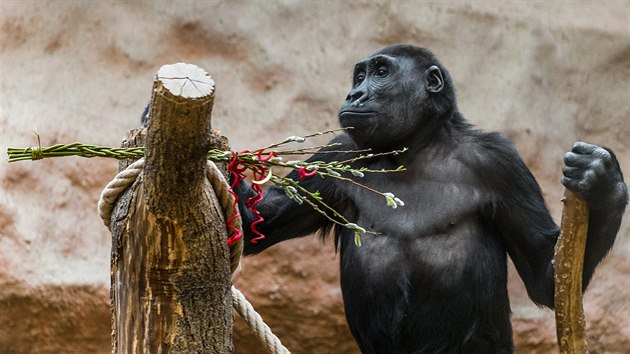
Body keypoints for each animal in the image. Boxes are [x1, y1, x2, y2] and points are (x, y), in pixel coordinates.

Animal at [238, 45, 630, 352]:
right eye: (359, 76)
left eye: (381, 72)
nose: (355, 95)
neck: (418, 146)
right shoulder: (338, 155)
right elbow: (258, 222)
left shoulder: (502, 162)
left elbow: (544, 275)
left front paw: (603, 182)